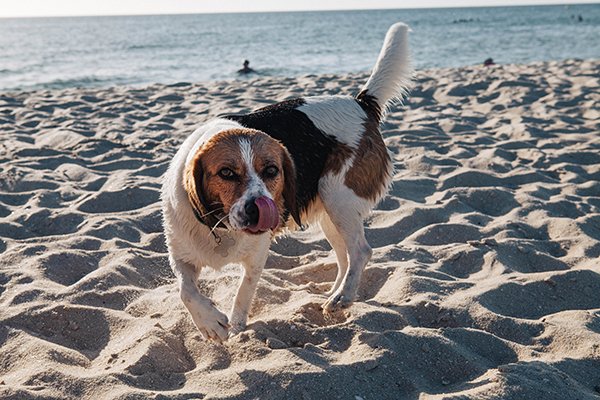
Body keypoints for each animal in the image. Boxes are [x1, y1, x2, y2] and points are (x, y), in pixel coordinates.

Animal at [162, 21, 410, 342]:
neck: (221, 225)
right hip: (331, 214)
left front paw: (236, 328)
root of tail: (360, 104)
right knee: (344, 256)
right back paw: (334, 293)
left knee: (360, 251)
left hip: (338, 198)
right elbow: (186, 290)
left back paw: (344, 296)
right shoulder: (180, 254)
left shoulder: (256, 256)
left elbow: (243, 294)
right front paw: (210, 322)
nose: (258, 209)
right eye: (226, 173)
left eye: (271, 170)